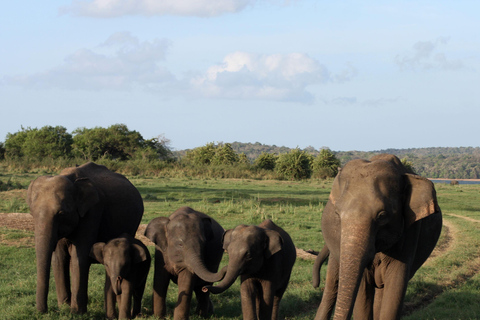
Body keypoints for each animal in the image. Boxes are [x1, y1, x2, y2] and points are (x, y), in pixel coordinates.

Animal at [27, 162, 143, 312]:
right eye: (31, 213)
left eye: (61, 213)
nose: (43, 312)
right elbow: (59, 258)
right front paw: (64, 307)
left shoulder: (93, 212)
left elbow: (80, 256)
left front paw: (76, 312)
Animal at [312, 154, 442, 318]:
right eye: (337, 214)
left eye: (382, 216)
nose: (315, 284)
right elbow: (362, 292)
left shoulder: (410, 232)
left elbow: (395, 287)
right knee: (332, 286)